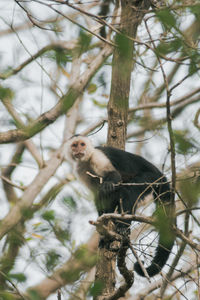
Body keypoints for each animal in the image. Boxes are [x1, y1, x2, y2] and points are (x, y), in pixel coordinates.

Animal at [66, 135, 175, 278]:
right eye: (74, 145)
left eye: (82, 144)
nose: (78, 150)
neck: (86, 160)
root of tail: (160, 174)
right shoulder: (80, 170)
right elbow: (99, 198)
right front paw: (103, 227)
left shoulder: (97, 156)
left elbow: (114, 176)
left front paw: (108, 184)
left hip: (151, 179)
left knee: (127, 190)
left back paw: (123, 227)